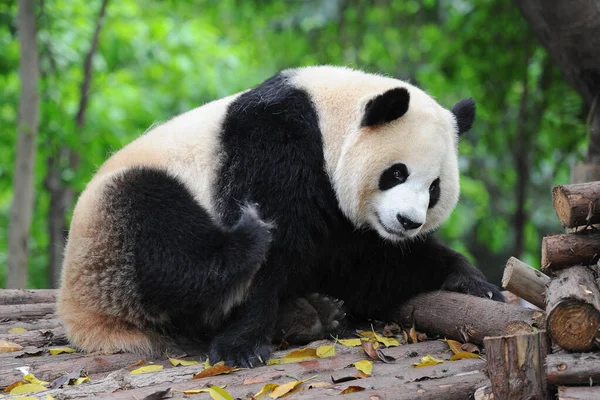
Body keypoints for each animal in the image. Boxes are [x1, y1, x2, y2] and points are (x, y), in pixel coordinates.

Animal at [58, 65, 504, 368]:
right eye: (397, 173)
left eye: (435, 188)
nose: (408, 222)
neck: (329, 119)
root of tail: (77, 311)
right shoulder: (277, 143)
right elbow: (273, 248)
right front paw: (242, 347)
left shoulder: (350, 226)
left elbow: (370, 267)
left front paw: (474, 284)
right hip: (113, 227)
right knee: (164, 244)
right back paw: (249, 247)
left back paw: (313, 313)